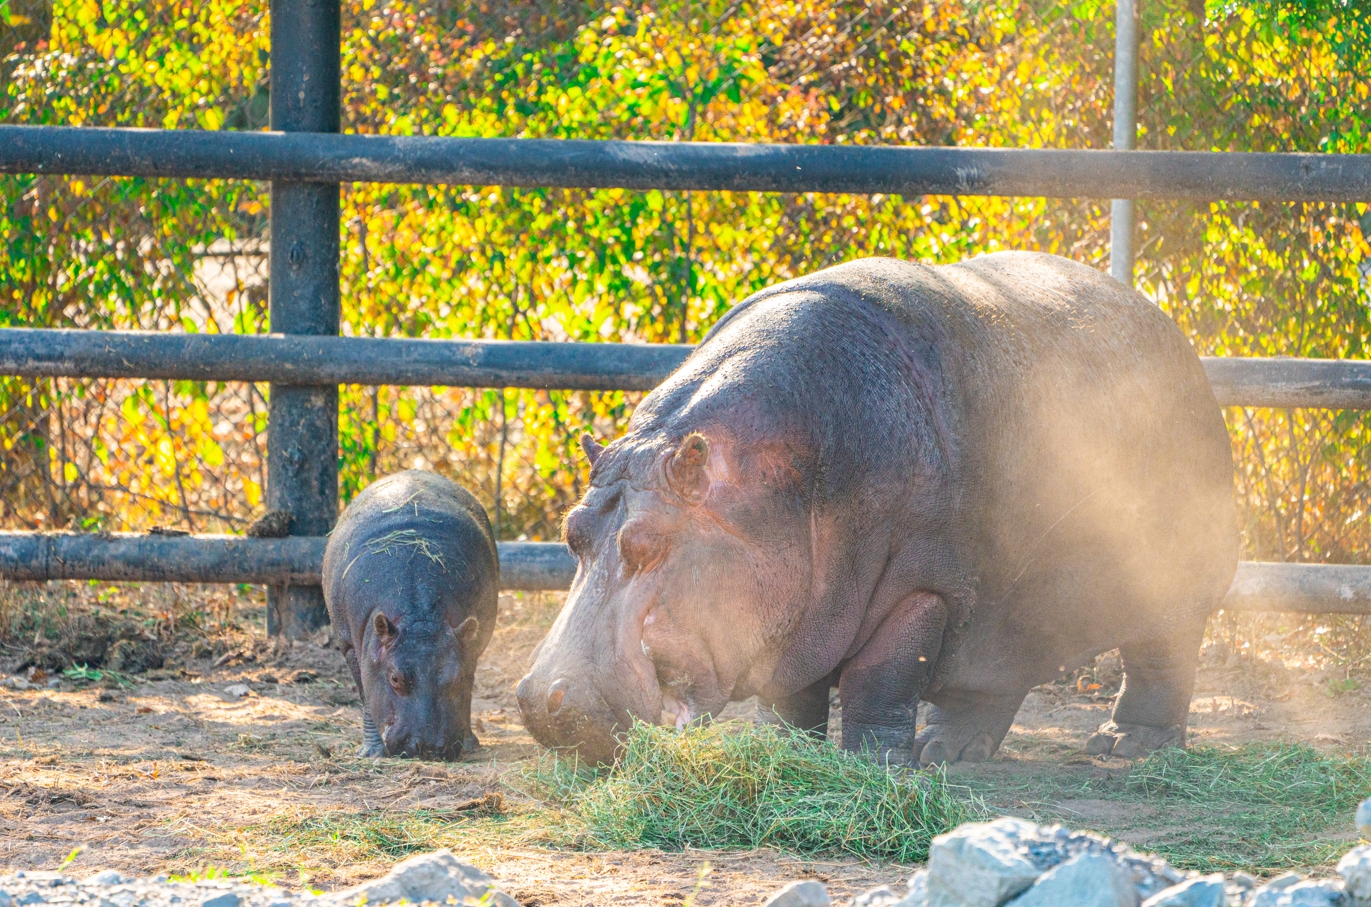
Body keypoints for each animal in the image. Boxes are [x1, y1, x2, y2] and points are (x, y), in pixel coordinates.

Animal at [323, 470, 498, 759]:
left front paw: (469, 743)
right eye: (395, 678)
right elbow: (367, 698)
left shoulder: (469, 645)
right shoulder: (350, 647)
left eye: (456, 677)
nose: (428, 746)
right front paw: (371, 753)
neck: (419, 616)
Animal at [516, 252, 1237, 767]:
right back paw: (945, 751)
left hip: (1167, 579)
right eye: (571, 532)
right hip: (1007, 600)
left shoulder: (920, 587)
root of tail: (1169, 331)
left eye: (649, 543)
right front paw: (783, 752)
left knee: (1161, 655)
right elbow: (792, 693)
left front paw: (872, 764)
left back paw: (1125, 745)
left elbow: (882, 674)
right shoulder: (800, 611)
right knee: (991, 676)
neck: (768, 481)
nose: (541, 701)